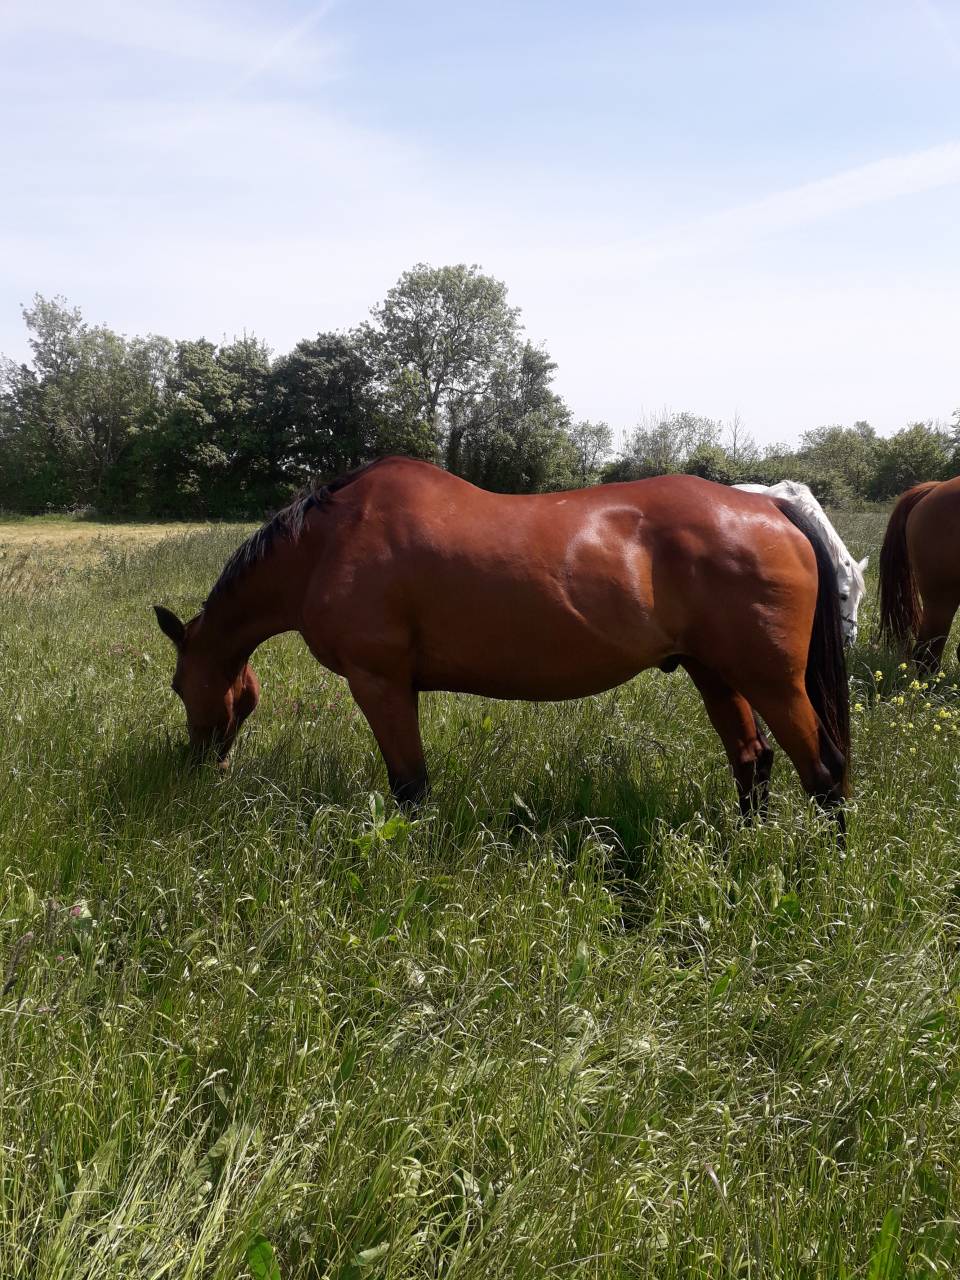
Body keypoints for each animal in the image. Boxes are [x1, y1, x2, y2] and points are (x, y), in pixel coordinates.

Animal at [154, 456, 849, 824]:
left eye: (178, 685)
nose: (200, 766)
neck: (328, 545)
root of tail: (770, 508)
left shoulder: (379, 681)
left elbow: (410, 787)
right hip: (715, 672)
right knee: (752, 762)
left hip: (772, 682)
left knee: (825, 771)